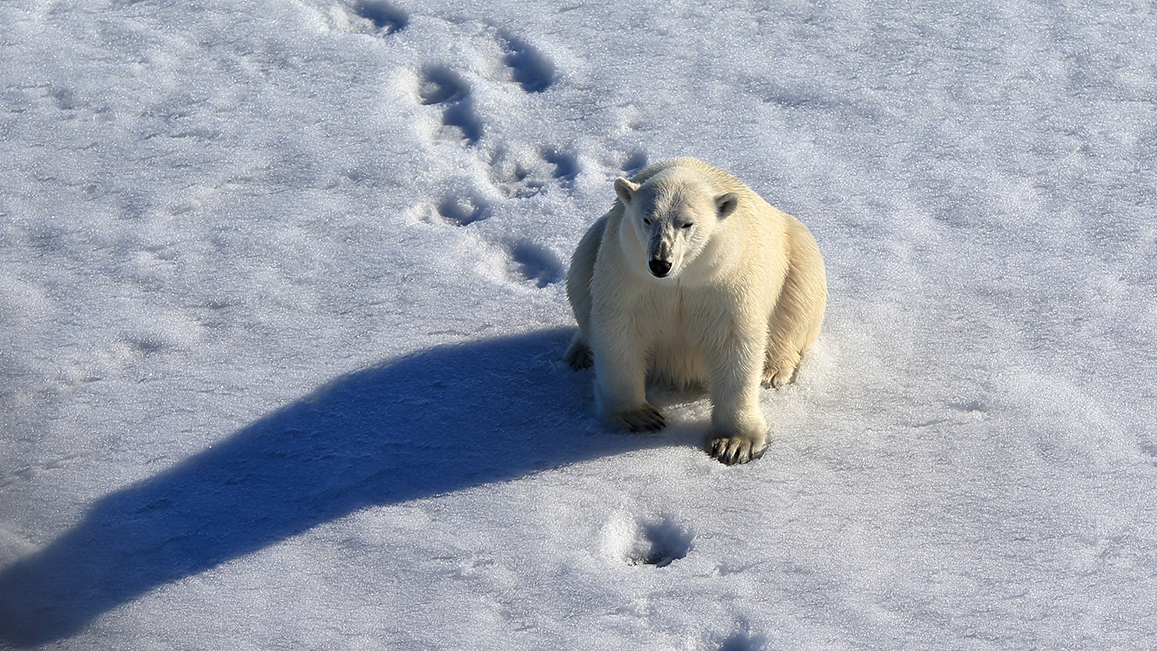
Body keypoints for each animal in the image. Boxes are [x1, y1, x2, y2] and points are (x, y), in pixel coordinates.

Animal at [562, 157, 823, 462]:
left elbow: (734, 341)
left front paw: (734, 443)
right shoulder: (628, 271)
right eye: (647, 218)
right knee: (581, 275)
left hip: (796, 250)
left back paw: (772, 370)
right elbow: (619, 330)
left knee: (799, 299)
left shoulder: (724, 280)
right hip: (596, 239)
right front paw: (638, 417)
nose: (660, 262)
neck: (682, 276)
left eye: (687, 224)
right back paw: (580, 353)